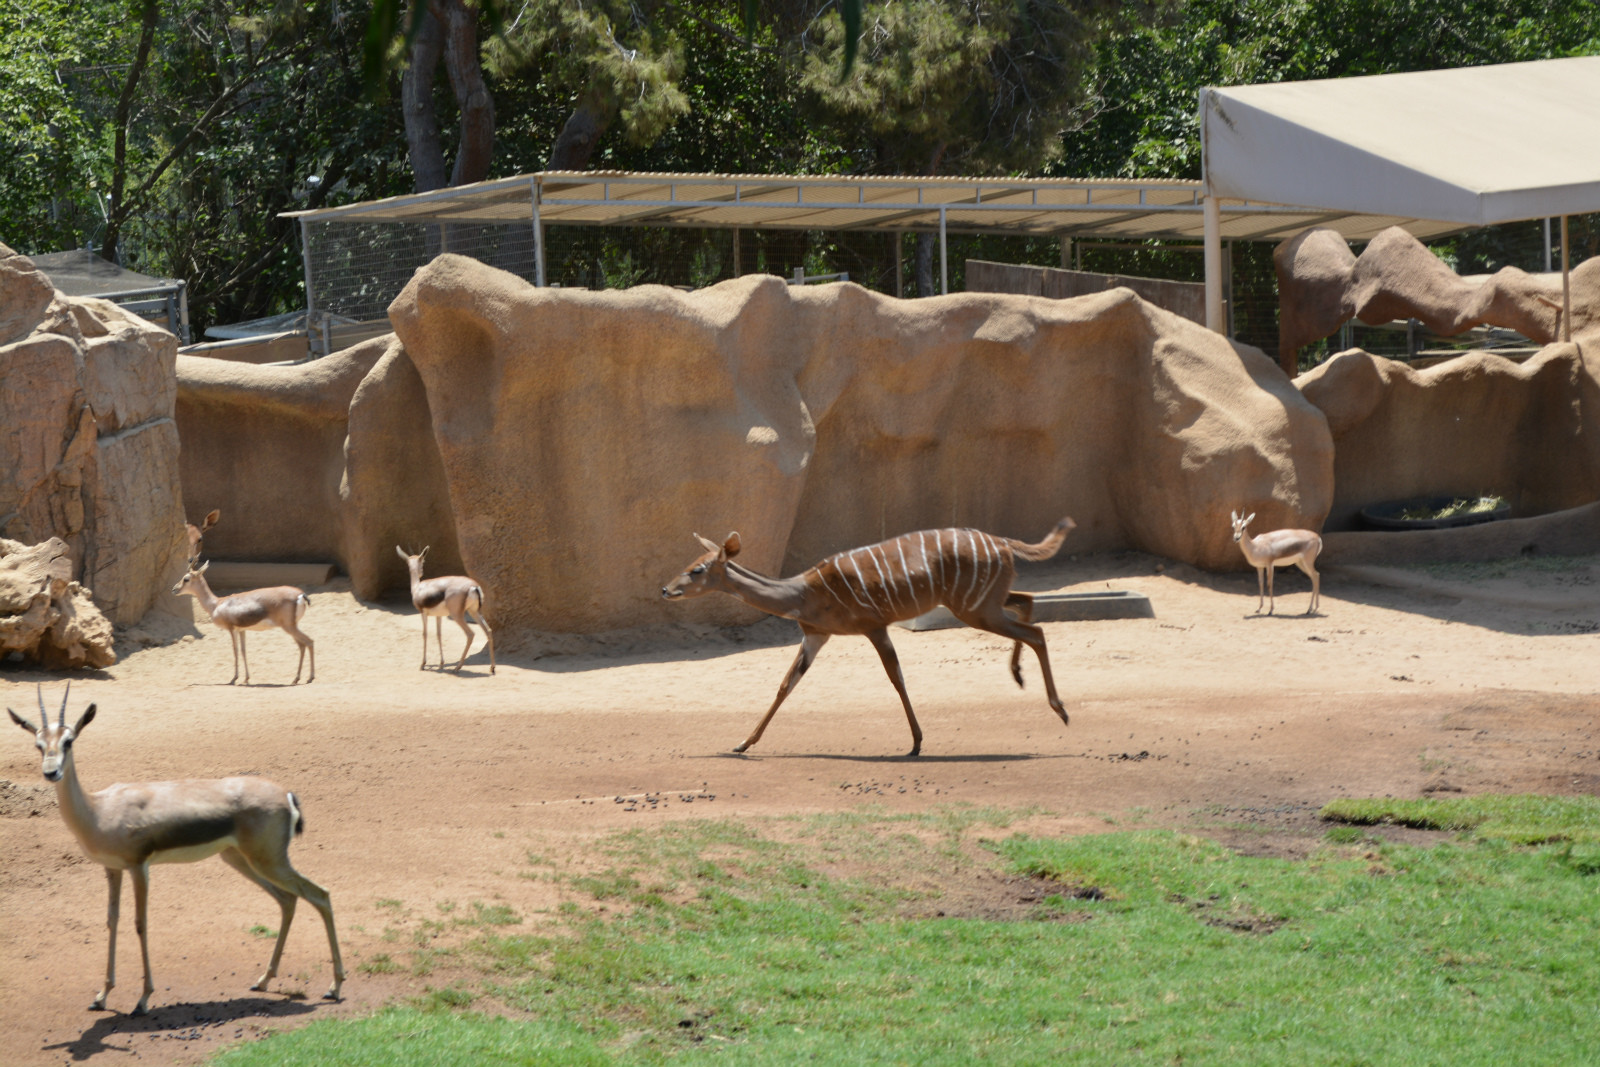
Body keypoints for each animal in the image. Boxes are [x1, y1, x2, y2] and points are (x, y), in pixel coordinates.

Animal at [8, 687, 344, 1017]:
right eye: (38, 744)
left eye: (69, 740)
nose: (51, 772)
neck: (99, 809)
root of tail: (286, 794)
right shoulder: (112, 868)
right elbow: (112, 920)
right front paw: (101, 996)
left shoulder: (139, 867)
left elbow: (140, 923)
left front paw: (143, 999)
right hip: (241, 859)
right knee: (288, 900)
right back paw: (263, 980)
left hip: (268, 861)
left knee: (320, 894)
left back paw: (334, 987)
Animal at [173, 559, 313, 684]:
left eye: (186, 579)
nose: (174, 589)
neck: (216, 604)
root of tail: (301, 594)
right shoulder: (242, 630)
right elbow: (243, 651)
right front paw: (246, 678)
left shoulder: (231, 629)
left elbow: (235, 651)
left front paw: (234, 678)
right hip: (292, 627)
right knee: (303, 645)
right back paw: (297, 678)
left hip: (289, 627)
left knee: (309, 642)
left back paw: (309, 678)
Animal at [662, 518, 1075, 758]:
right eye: (687, 563)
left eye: (697, 569)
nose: (666, 590)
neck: (804, 594)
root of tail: (1003, 543)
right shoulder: (816, 636)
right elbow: (785, 685)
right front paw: (742, 743)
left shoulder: (873, 626)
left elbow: (896, 678)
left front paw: (916, 743)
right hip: (985, 602)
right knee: (1028, 603)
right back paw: (1019, 677)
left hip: (974, 609)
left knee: (1036, 632)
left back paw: (1061, 710)